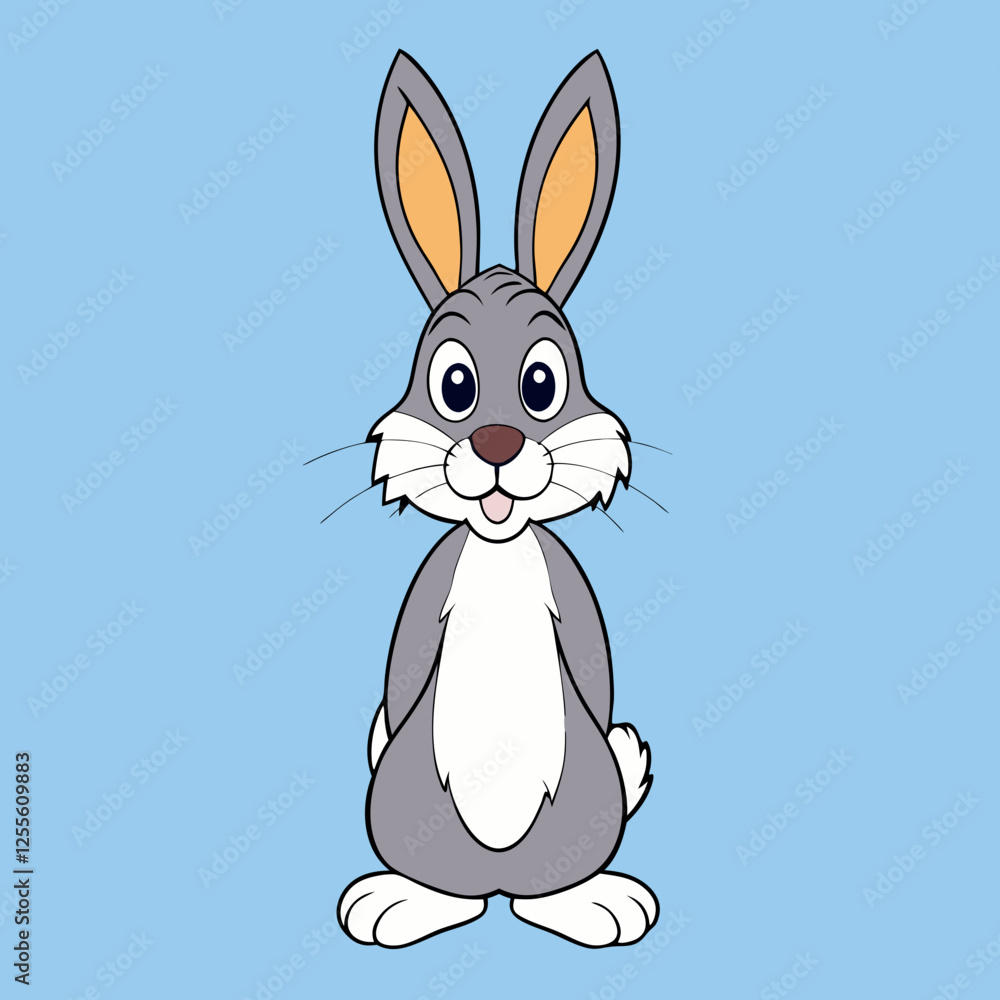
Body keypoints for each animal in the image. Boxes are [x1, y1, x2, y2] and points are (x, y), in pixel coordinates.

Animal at [337, 49, 658, 949]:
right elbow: (406, 664)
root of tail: (497, 883)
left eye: (542, 384)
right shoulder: (426, 598)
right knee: (449, 885)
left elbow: (594, 666)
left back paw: (590, 902)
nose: (497, 444)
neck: (500, 544)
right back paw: (404, 902)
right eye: (455, 385)